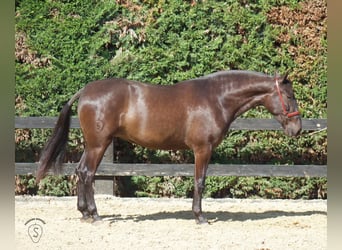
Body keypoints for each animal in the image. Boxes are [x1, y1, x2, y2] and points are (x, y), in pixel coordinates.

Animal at [36, 69, 300, 224]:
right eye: (289, 96)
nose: (296, 128)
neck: (215, 98)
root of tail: (86, 90)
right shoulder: (203, 149)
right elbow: (200, 181)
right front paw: (200, 216)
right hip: (99, 145)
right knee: (88, 173)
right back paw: (95, 214)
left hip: (92, 144)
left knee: (80, 172)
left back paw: (84, 213)